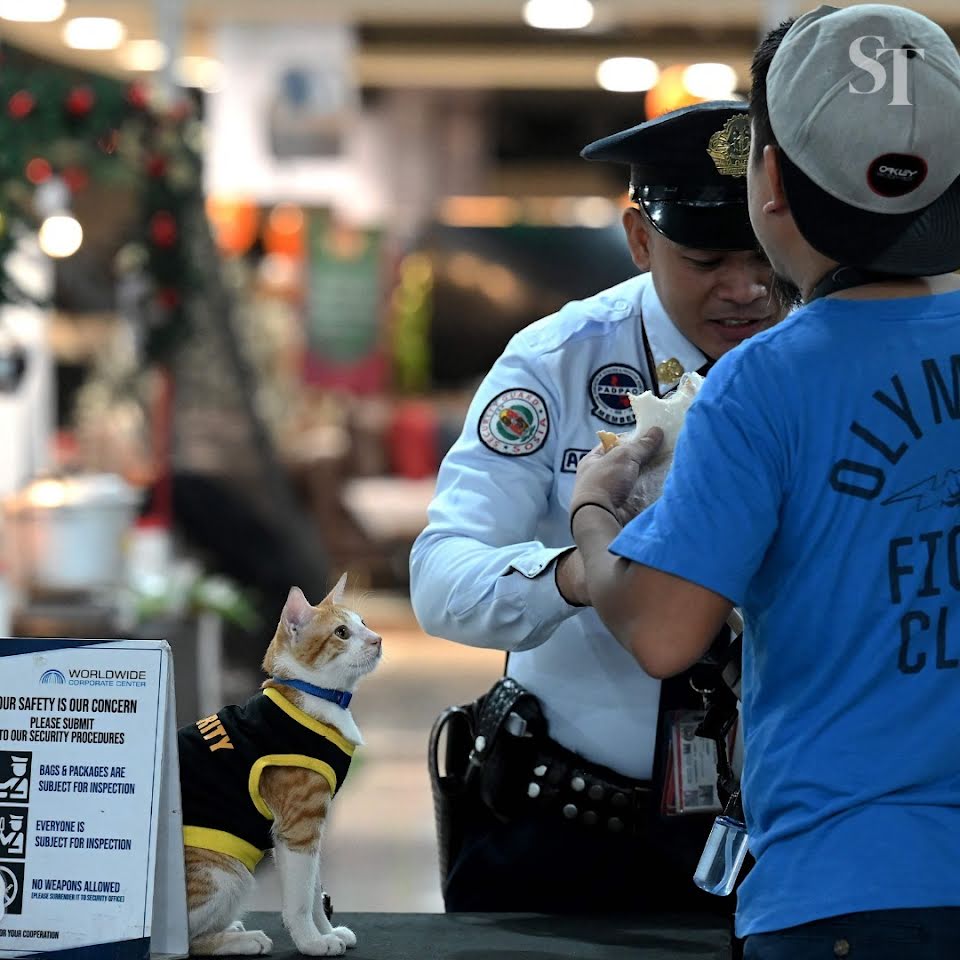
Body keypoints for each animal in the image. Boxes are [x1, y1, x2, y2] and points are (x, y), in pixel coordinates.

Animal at [178, 573, 382, 956]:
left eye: (363, 622)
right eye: (341, 633)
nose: (378, 639)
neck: (316, 698)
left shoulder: (311, 827)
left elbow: (314, 892)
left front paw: (326, 932)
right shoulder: (298, 827)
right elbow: (300, 900)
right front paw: (312, 942)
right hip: (229, 873)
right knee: (179, 942)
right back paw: (242, 940)